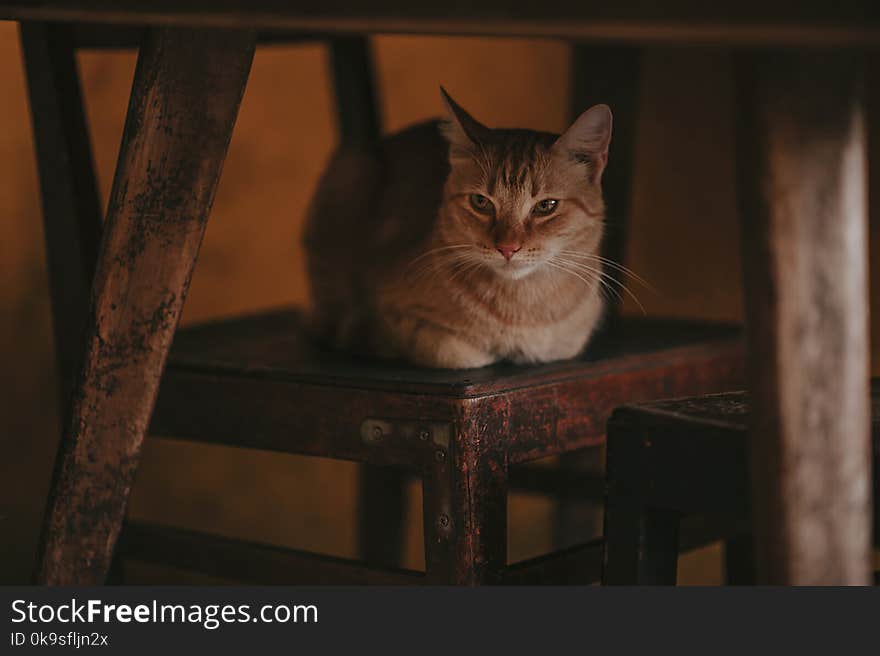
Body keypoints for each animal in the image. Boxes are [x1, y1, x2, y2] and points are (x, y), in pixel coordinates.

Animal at [306, 89, 616, 368]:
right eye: (481, 202)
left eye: (546, 206)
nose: (508, 248)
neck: (521, 308)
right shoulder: (385, 317)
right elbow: (457, 352)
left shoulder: (570, 341)